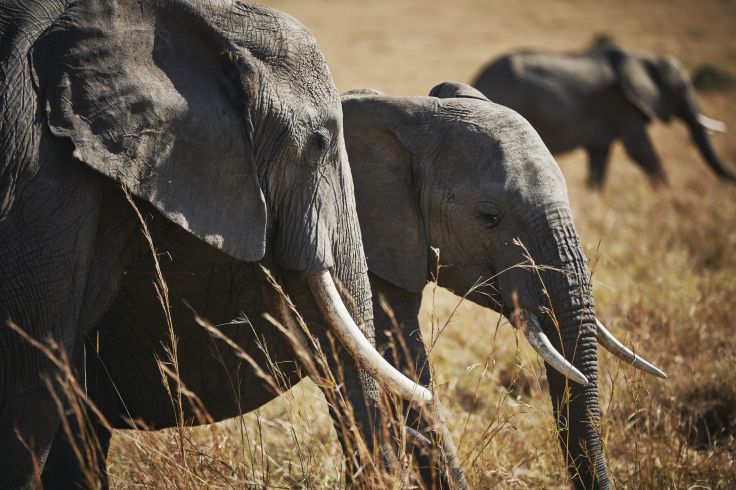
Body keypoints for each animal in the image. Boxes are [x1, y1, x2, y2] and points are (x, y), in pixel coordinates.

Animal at [468, 46, 732, 188]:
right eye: (682, 89)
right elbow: (640, 151)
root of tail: (481, 75)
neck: (644, 59)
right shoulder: (621, 102)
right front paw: (667, 192)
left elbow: (599, 159)